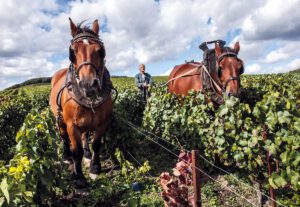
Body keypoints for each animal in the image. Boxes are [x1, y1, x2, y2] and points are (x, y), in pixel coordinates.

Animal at [49, 18, 112, 188]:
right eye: (72, 52)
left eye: (100, 50)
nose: (88, 85)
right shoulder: (72, 125)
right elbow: (77, 150)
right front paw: (79, 177)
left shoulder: (103, 122)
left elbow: (96, 144)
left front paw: (95, 167)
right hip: (59, 118)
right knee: (63, 136)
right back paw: (66, 155)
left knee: (86, 134)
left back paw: (88, 153)